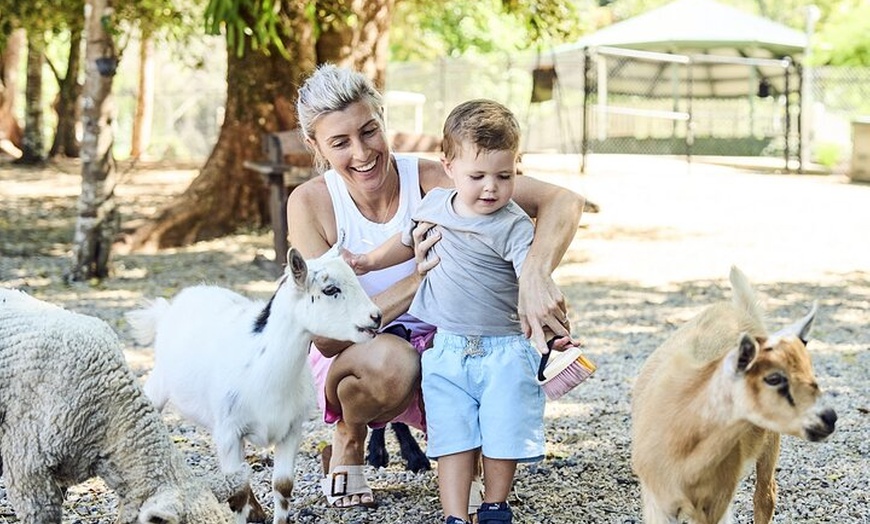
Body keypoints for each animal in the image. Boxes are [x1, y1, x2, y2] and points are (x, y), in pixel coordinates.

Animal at [125, 247, 382, 524]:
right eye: (330, 289)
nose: (376, 317)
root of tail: (169, 308)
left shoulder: (292, 429)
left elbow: (282, 486)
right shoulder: (229, 432)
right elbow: (237, 494)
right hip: (160, 383)